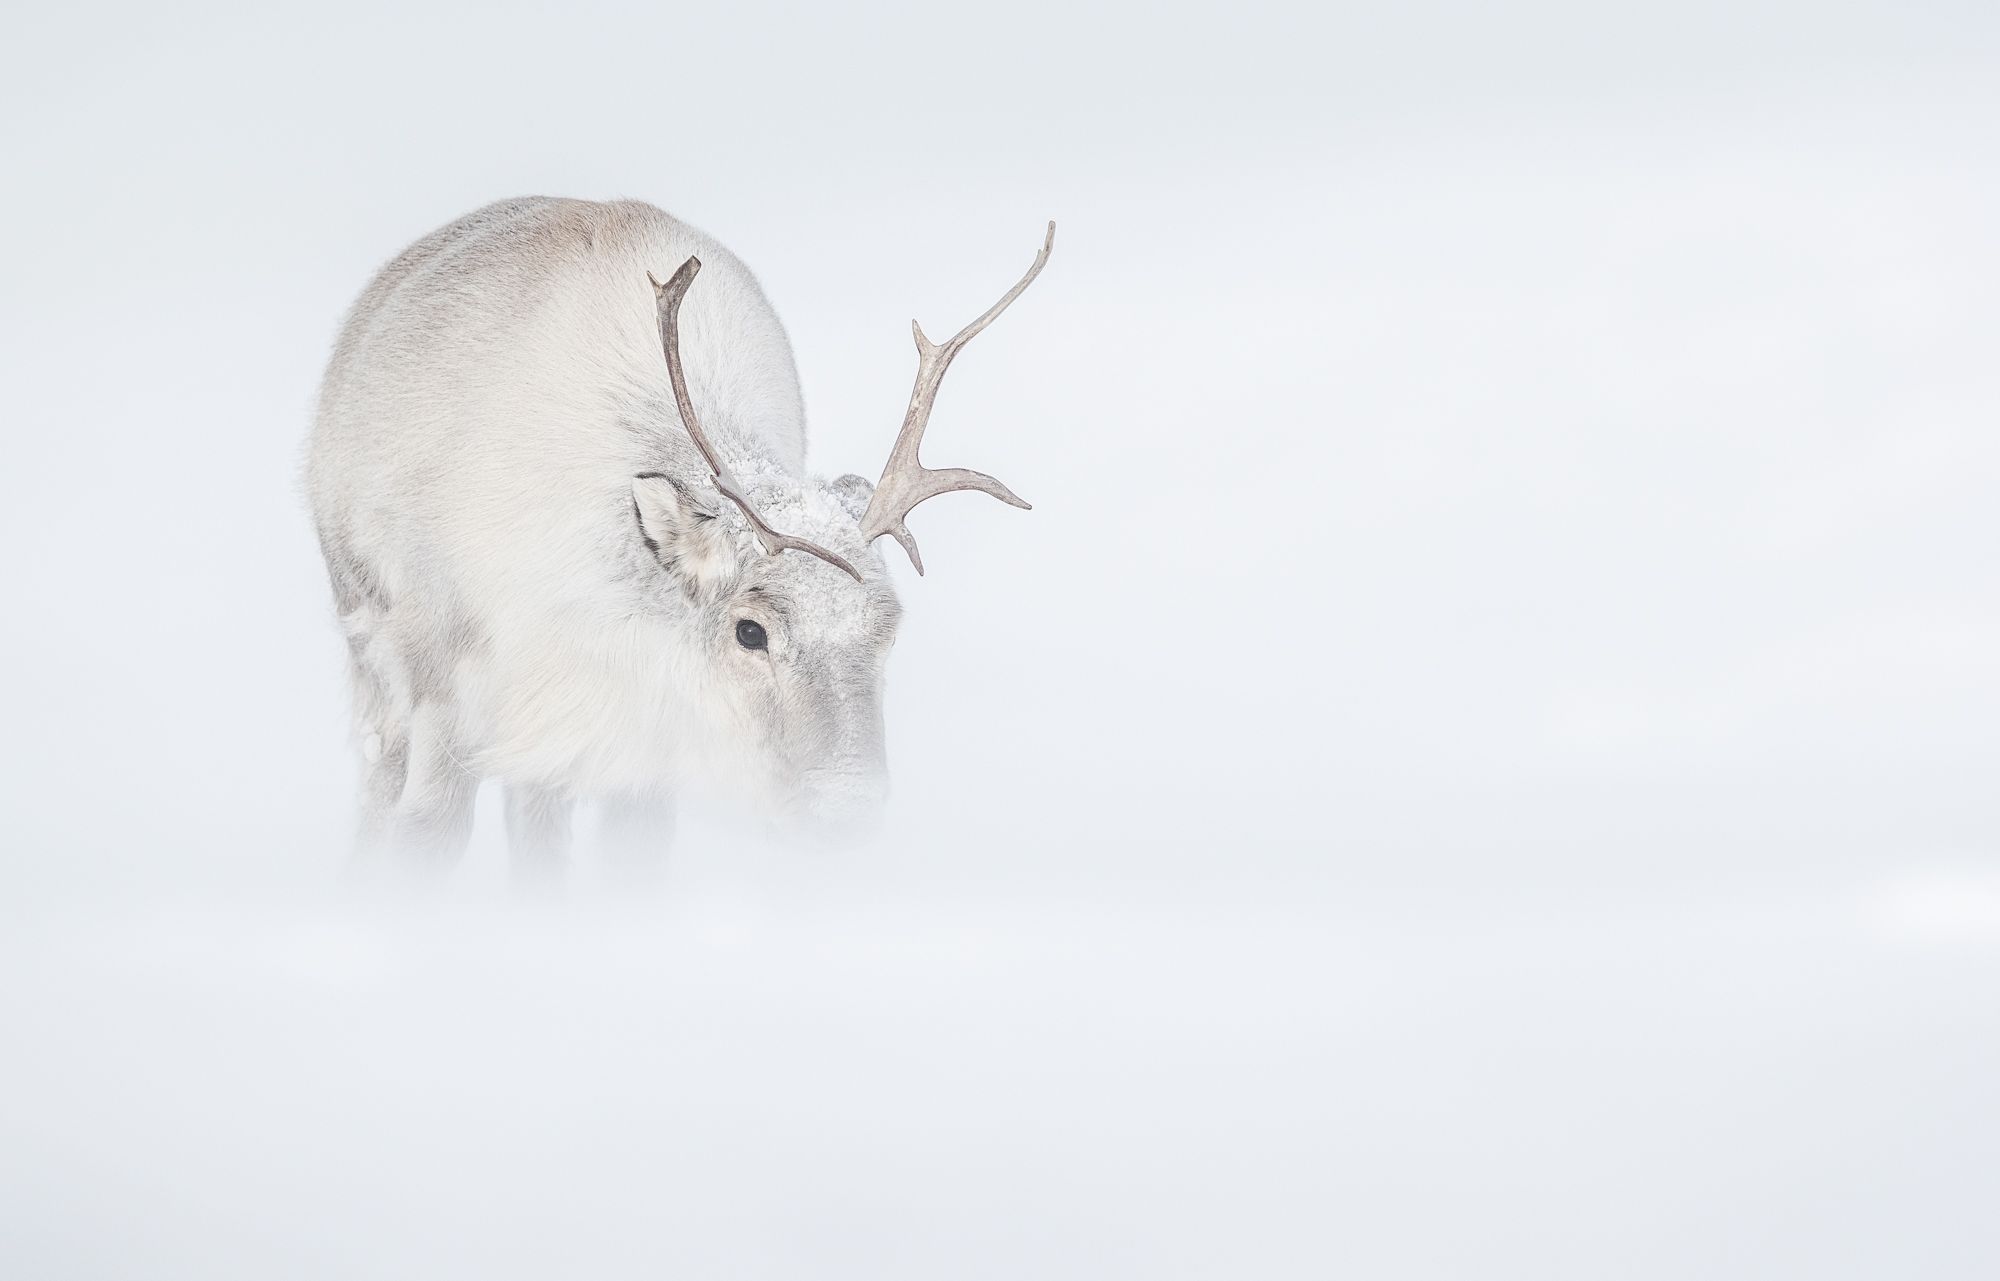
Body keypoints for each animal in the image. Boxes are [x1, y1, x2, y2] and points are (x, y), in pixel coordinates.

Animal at [305, 198, 1052, 871]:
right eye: (749, 630)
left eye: (887, 628)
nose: (848, 813)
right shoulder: (447, 698)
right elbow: (424, 839)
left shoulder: (633, 751)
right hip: (370, 654)